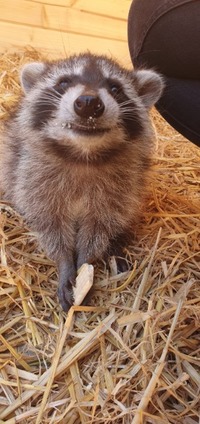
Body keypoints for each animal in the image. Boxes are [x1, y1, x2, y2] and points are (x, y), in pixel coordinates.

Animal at [0, 53, 163, 312]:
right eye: (64, 83)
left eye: (115, 88)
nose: (88, 102)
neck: (83, 153)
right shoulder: (33, 177)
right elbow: (50, 224)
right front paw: (65, 261)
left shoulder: (122, 185)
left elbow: (100, 227)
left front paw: (86, 261)